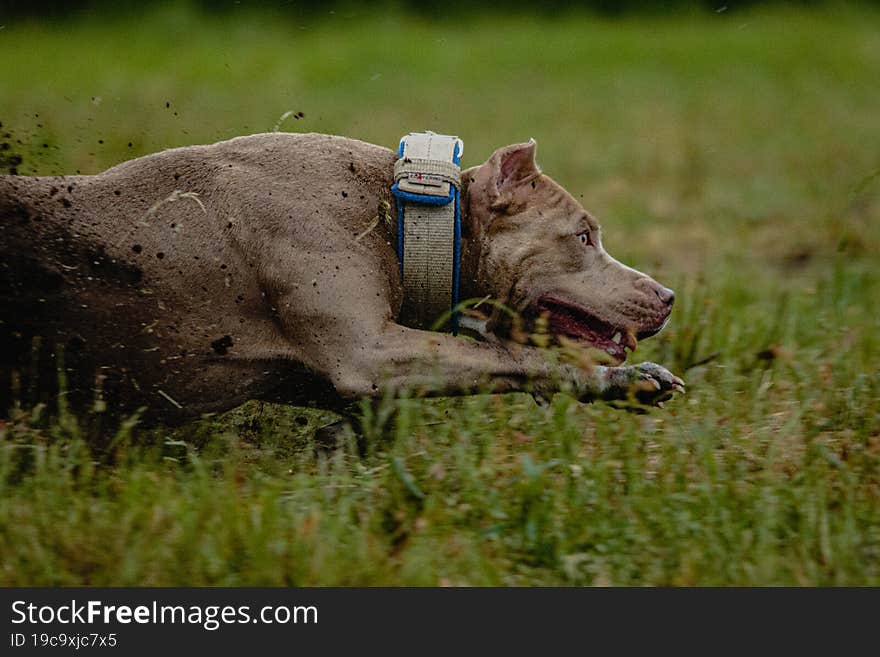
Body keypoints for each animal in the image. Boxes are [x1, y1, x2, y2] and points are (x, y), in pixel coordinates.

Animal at [0, 132, 684, 426]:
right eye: (584, 236)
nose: (668, 296)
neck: (405, 212)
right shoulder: (367, 352)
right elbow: (509, 356)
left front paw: (625, 381)